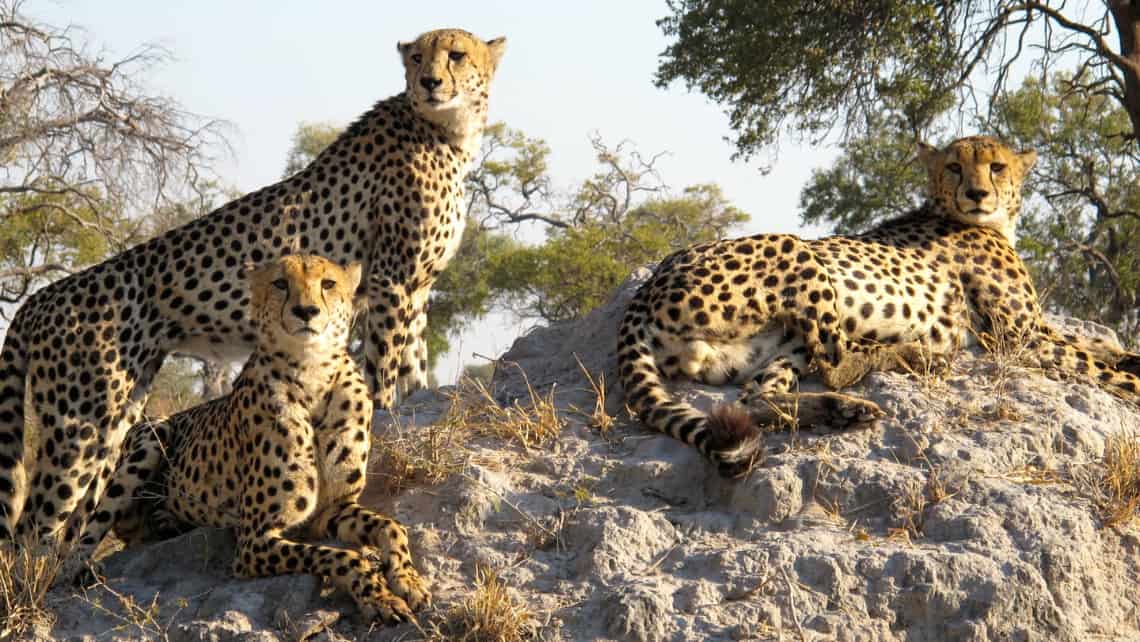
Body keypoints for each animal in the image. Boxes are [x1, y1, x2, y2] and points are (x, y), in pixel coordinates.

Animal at [0, 27, 508, 545]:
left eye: (457, 55)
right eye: (419, 58)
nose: (430, 82)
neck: (446, 129)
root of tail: (39, 296)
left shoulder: (416, 287)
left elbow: (414, 367)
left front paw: (412, 399)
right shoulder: (391, 280)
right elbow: (386, 368)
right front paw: (386, 409)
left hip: (118, 414)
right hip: (78, 425)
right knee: (32, 528)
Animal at [67, 255, 430, 624]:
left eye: (328, 283)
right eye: (280, 283)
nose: (306, 311)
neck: (312, 373)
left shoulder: (334, 509)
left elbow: (391, 525)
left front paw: (408, 580)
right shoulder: (255, 539)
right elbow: (342, 556)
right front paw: (379, 597)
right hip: (152, 435)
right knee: (85, 535)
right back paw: (78, 569)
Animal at [620, 135, 1140, 476]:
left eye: (996, 167)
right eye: (954, 167)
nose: (976, 193)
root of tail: (652, 279)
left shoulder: (1035, 330)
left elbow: (1096, 344)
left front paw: (1126, 354)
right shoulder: (1018, 338)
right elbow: (1100, 366)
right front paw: (1130, 380)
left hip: (777, 343)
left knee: (757, 397)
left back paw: (843, 410)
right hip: (799, 251)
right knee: (836, 361)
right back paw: (914, 357)